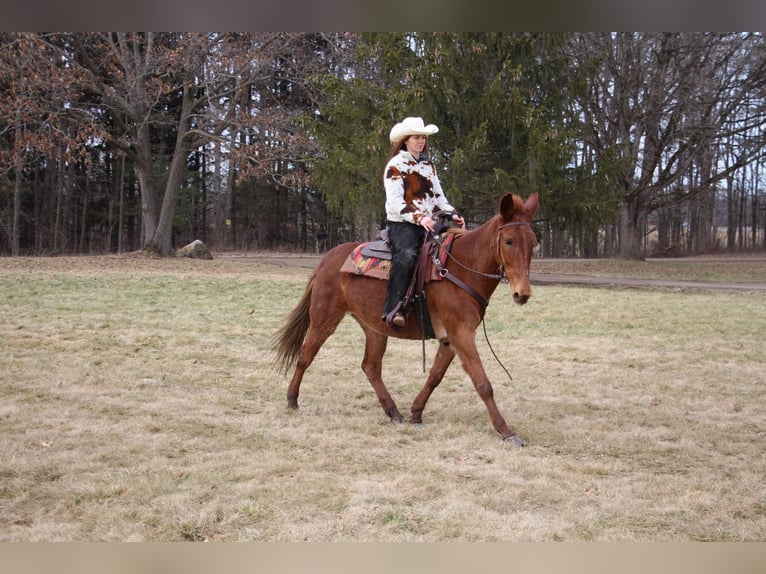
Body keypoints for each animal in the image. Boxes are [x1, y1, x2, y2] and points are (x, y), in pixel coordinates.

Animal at [270, 192, 540, 446]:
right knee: (305, 356)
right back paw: (292, 399)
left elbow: (435, 377)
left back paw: (393, 412)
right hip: (324, 318)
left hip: (375, 328)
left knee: (370, 367)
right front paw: (506, 431)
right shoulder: (461, 334)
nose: (523, 293)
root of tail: (327, 259)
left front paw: (416, 413)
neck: (461, 268)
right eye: (508, 241)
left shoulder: (450, 339)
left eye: (533, 243)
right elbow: (483, 383)